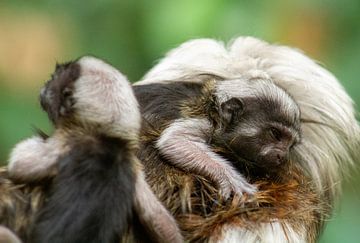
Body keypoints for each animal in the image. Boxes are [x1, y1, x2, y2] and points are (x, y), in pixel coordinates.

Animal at [7, 56, 183, 242]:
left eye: (54, 79)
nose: (45, 85)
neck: (109, 141)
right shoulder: (134, 166)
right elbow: (163, 225)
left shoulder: (68, 139)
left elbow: (19, 165)